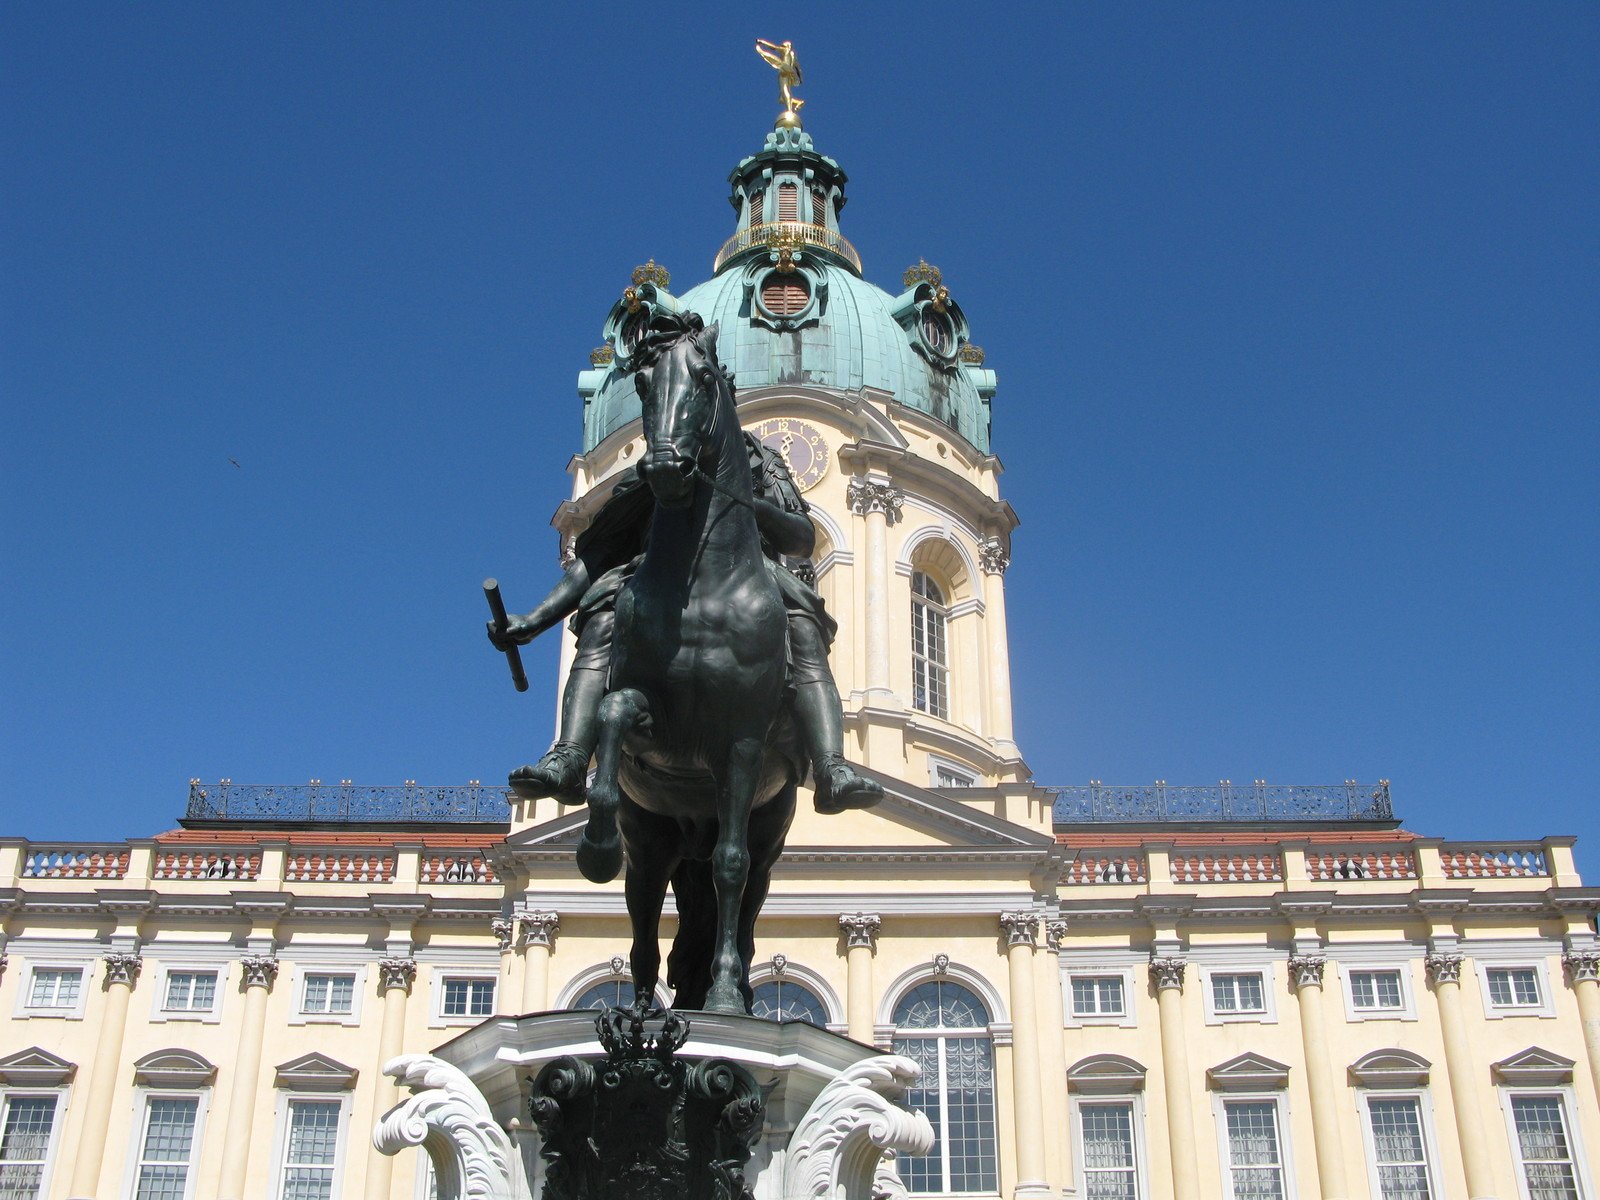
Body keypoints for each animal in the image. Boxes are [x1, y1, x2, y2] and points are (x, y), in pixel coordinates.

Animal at [579, 310, 796, 1017]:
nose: (666, 467)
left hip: (770, 828)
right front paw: (592, 841)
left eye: (702, 378)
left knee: (743, 891)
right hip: (655, 835)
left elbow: (730, 866)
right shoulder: (655, 721)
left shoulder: (741, 744)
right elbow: (614, 712)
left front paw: (725, 993)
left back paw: (733, 989)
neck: (706, 583)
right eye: (644, 384)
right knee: (645, 911)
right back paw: (644, 1003)